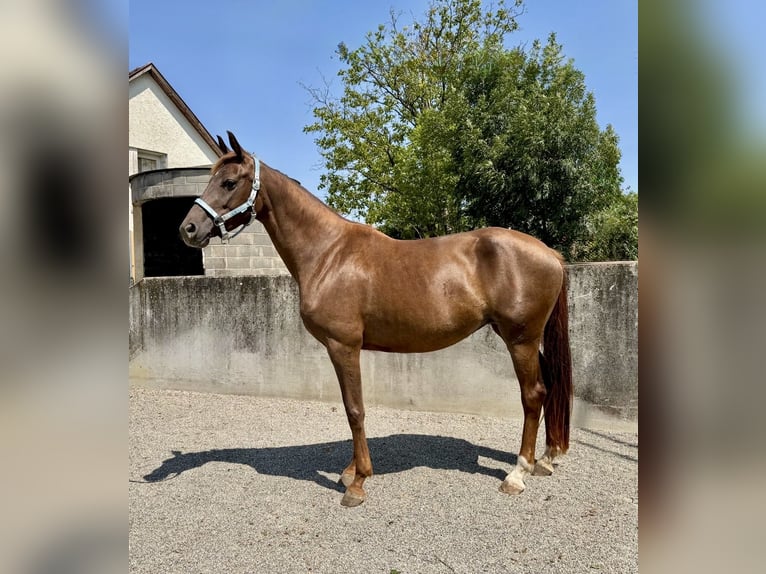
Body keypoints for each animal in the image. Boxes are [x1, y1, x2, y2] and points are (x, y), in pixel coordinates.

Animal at [180, 131, 572, 507]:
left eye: (229, 182)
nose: (188, 229)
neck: (328, 253)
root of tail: (549, 253)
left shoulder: (344, 346)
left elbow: (355, 410)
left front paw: (358, 483)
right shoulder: (341, 349)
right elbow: (350, 407)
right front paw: (349, 472)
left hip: (520, 339)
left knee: (533, 395)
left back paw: (518, 473)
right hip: (525, 340)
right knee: (550, 386)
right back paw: (547, 459)